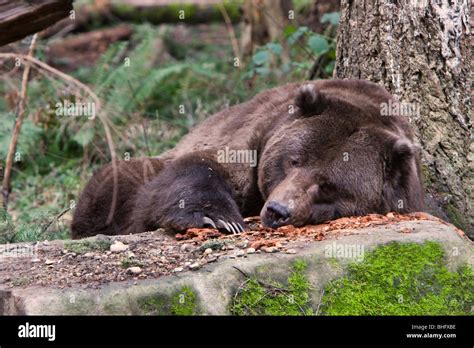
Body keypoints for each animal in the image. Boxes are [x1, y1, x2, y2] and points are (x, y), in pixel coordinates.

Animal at [72, 79, 424, 238]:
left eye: (328, 185)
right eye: (294, 160)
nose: (278, 210)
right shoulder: (247, 140)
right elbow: (201, 169)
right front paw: (217, 217)